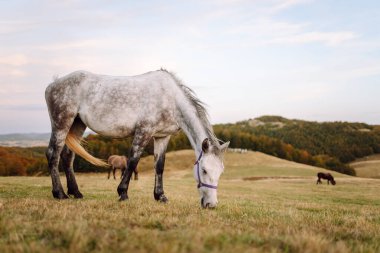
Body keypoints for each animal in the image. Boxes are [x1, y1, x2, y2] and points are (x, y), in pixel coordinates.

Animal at [44, 68, 229, 208]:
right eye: (204, 170)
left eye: (220, 171)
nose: (211, 204)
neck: (170, 98)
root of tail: (52, 85)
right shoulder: (144, 131)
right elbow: (133, 161)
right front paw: (123, 193)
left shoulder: (162, 137)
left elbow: (159, 166)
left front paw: (160, 196)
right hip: (62, 123)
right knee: (53, 154)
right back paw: (59, 193)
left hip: (77, 124)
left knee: (67, 156)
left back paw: (75, 192)